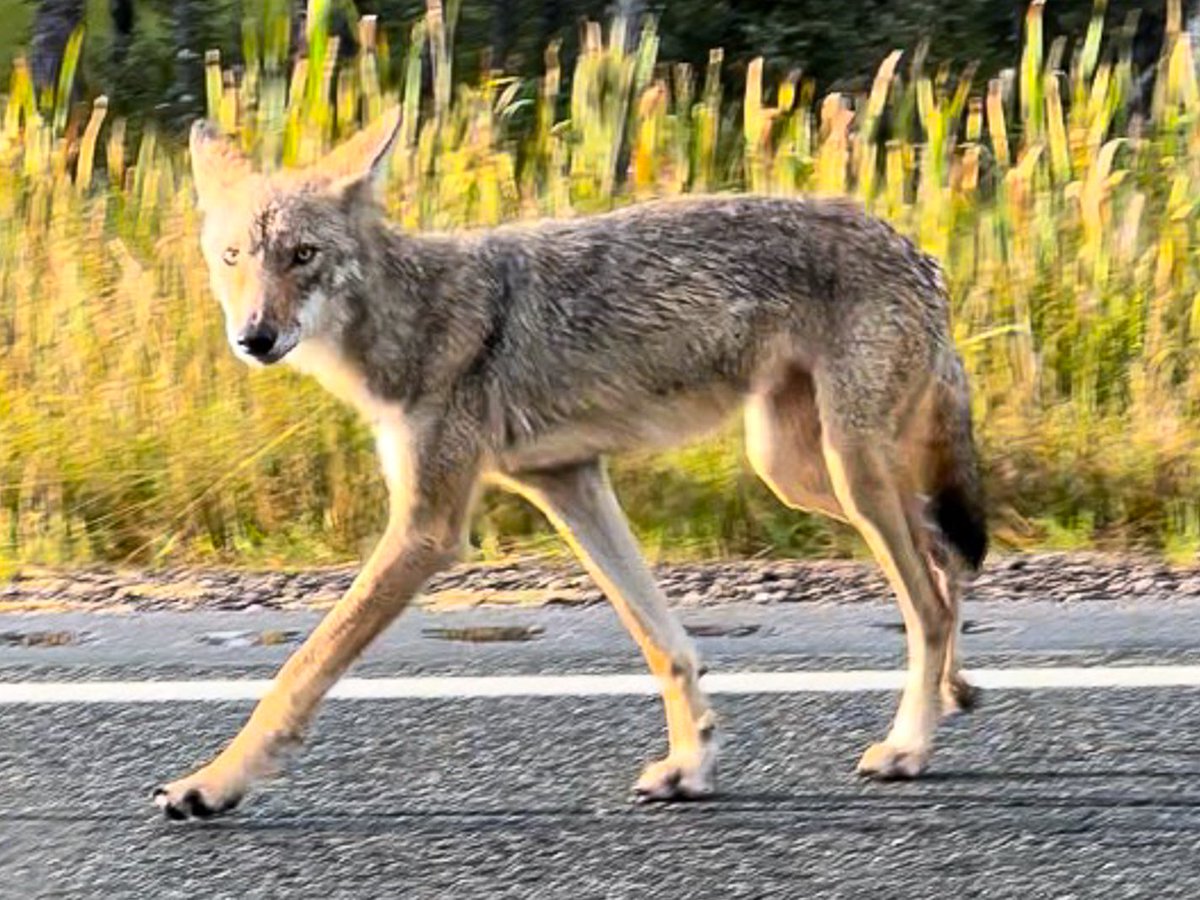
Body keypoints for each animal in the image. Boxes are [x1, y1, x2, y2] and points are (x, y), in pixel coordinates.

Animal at [154, 107, 986, 819]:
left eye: (304, 256)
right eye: (234, 257)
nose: (254, 337)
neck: (414, 321)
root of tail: (923, 253)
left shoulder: (428, 529)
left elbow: (302, 668)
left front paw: (212, 784)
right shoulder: (568, 481)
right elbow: (664, 643)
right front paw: (690, 766)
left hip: (843, 468)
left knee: (928, 598)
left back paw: (909, 745)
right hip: (795, 470)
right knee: (941, 551)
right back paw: (957, 692)